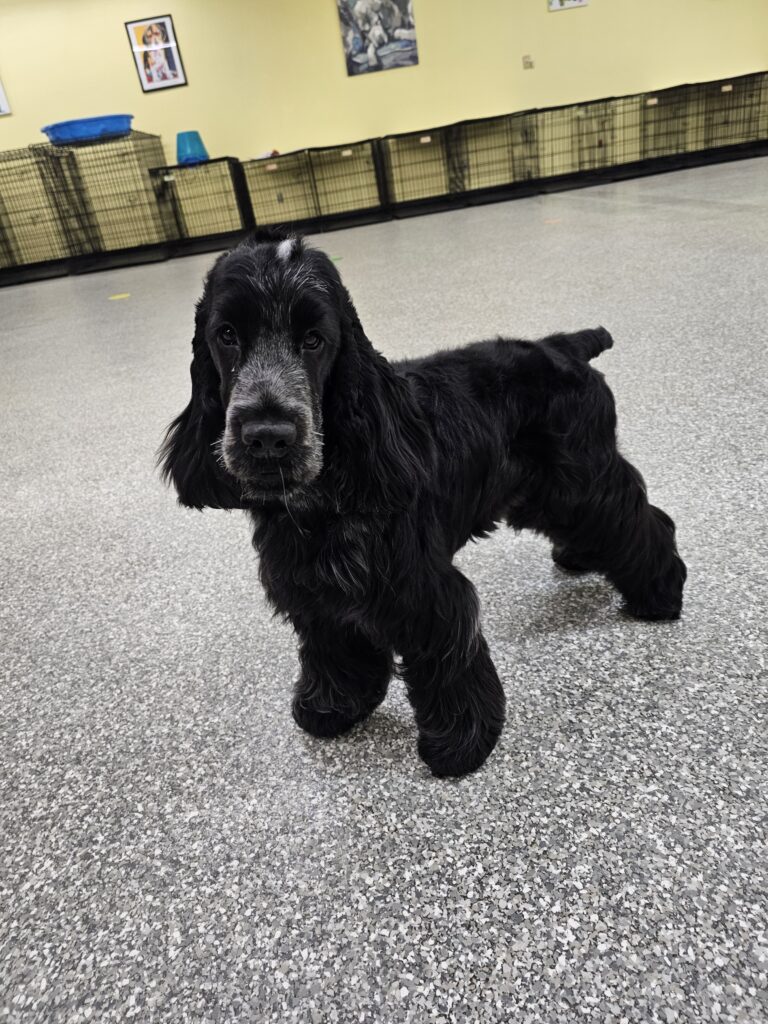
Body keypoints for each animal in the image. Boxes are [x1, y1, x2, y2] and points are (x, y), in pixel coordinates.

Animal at [159, 230, 688, 774]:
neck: (323, 498)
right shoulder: (313, 589)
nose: (268, 437)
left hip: (582, 478)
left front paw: (461, 741)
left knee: (643, 520)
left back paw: (661, 593)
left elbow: (446, 654)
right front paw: (331, 706)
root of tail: (564, 345)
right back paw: (581, 556)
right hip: (548, 493)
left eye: (314, 339)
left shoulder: (419, 586)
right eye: (226, 335)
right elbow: (333, 647)